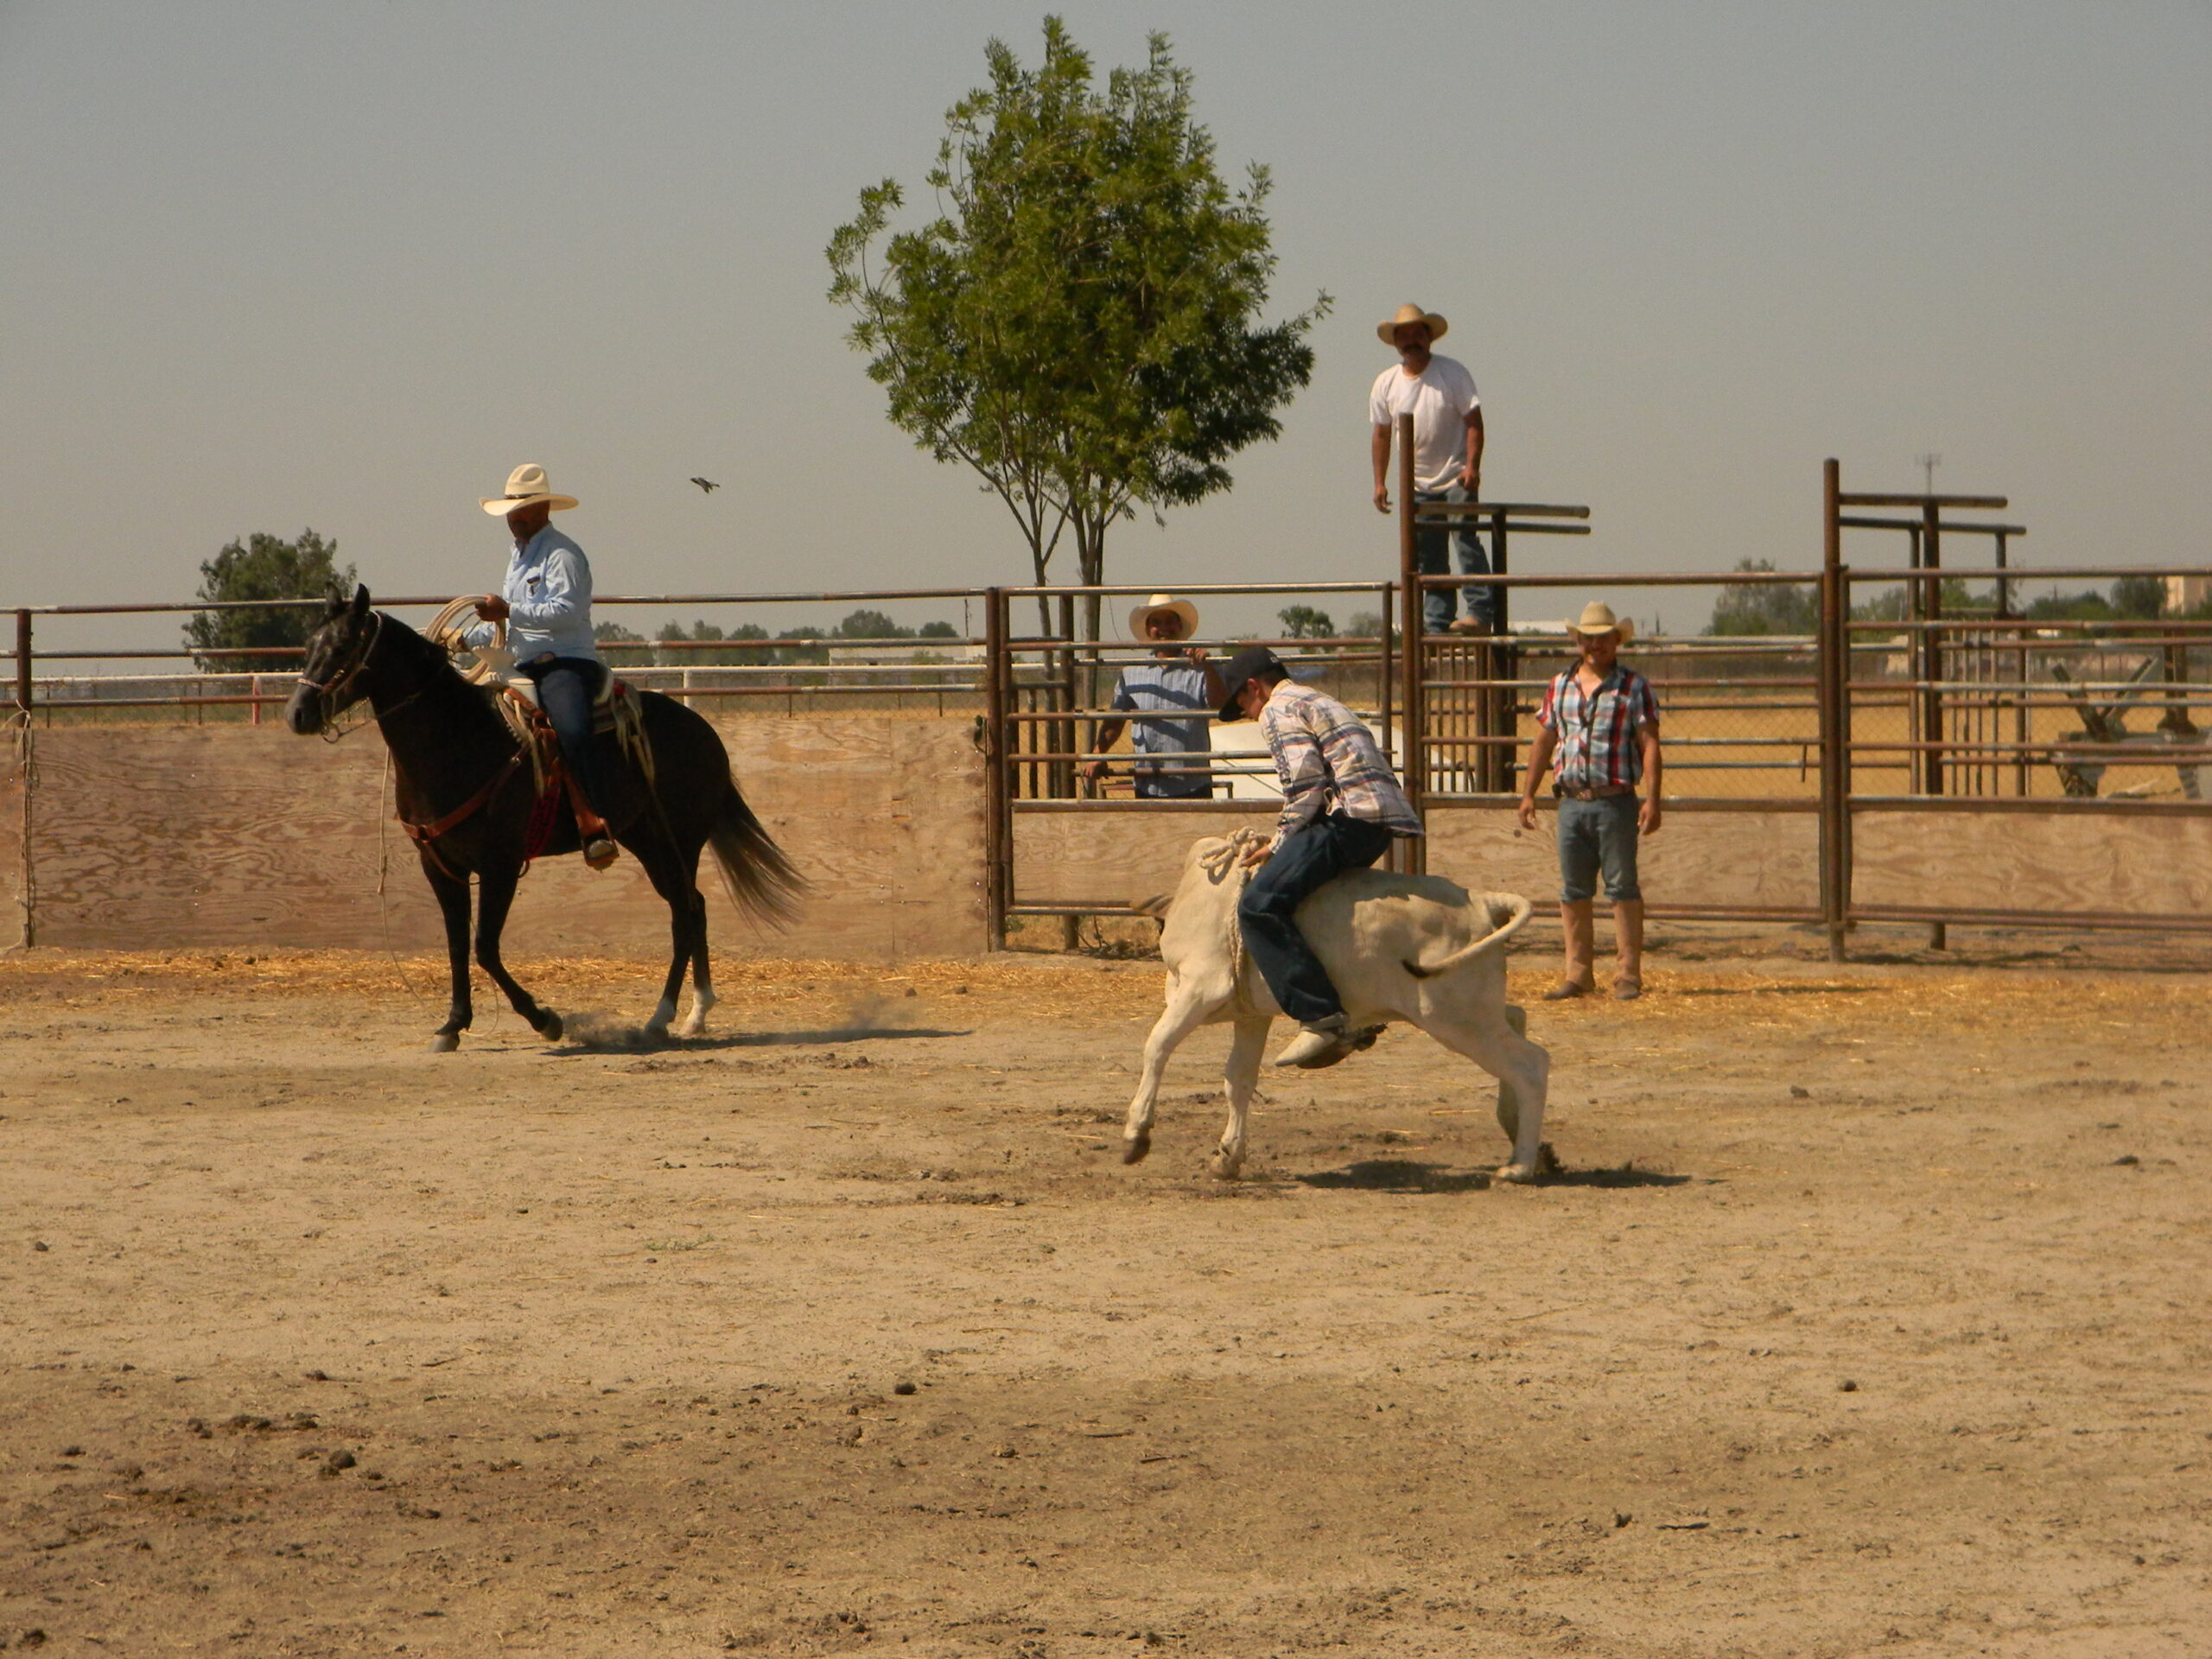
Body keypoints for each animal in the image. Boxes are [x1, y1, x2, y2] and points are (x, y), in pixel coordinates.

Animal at [285, 583, 800, 1052]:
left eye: (341, 647)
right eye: (308, 647)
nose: (297, 714)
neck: (458, 740)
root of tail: (703, 729)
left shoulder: (500, 863)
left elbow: (485, 947)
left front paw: (546, 1020)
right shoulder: (440, 865)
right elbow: (456, 945)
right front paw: (453, 1025)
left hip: (678, 842)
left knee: (686, 914)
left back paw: (661, 1018)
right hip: (647, 840)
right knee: (694, 908)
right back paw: (696, 1014)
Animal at [1123, 831, 1557, 1185]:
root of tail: (1481, 900)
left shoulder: (1200, 989)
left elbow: (1156, 1047)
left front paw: (1136, 1135)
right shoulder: (1252, 1016)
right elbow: (1238, 1081)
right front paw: (1227, 1158)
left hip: (1456, 1017)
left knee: (1529, 1064)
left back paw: (1519, 1165)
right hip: (1474, 1007)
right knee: (1517, 1020)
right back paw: (1528, 1143)